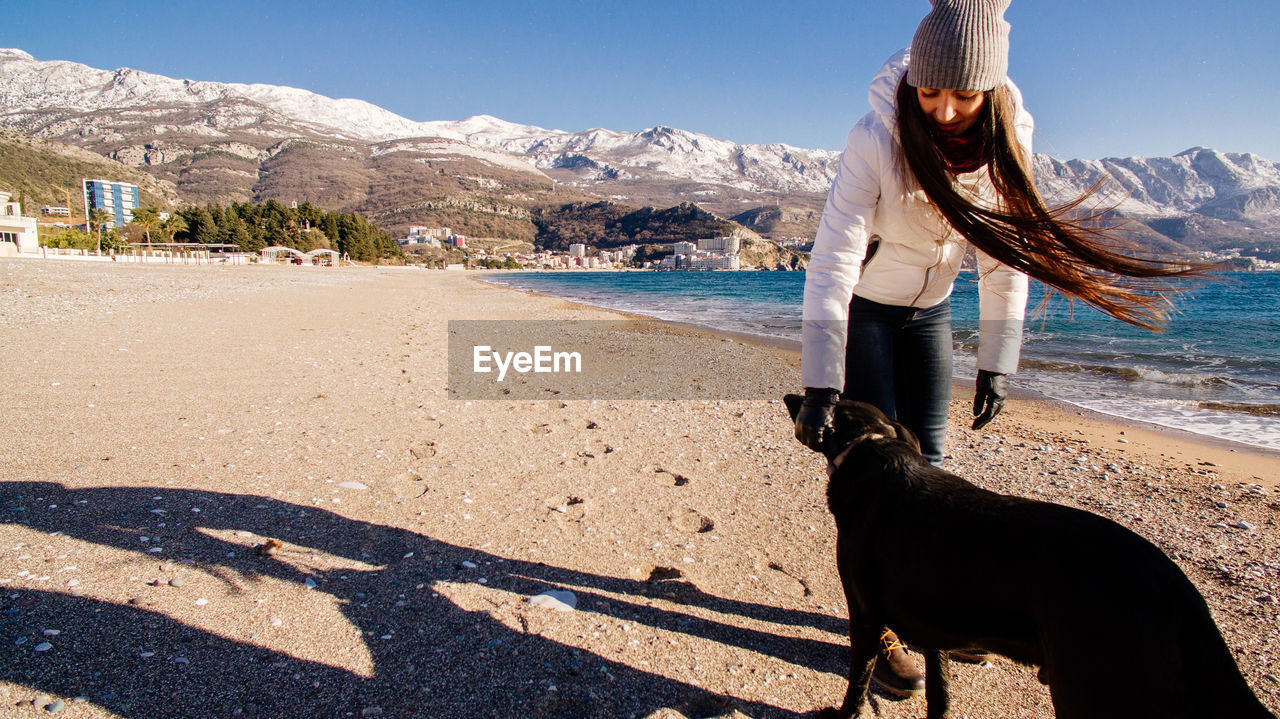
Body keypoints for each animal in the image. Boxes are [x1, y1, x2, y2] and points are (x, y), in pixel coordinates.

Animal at [778, 394, 1269, 716]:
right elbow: (941, 694)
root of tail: (1179, 592)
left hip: (1094, 691)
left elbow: (857, 684)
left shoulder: (864, 614)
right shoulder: (934, 626)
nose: (794, 395)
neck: (874, 451)